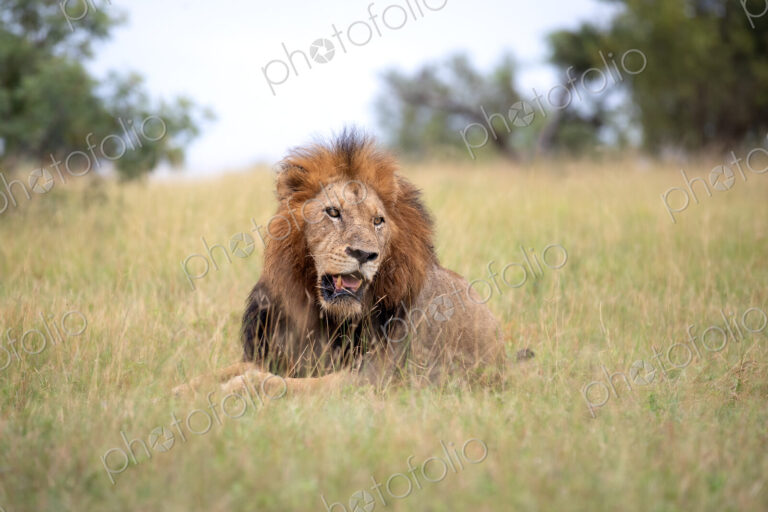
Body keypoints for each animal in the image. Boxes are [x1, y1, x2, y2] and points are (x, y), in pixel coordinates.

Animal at [174, 130, 531, 397]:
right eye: (333, 212)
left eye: (377, 221)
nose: (364, 254)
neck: (323, 315)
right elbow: (228, 369)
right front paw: (179, 388)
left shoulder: (373, 378)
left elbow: (281, 385)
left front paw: (235, 389)